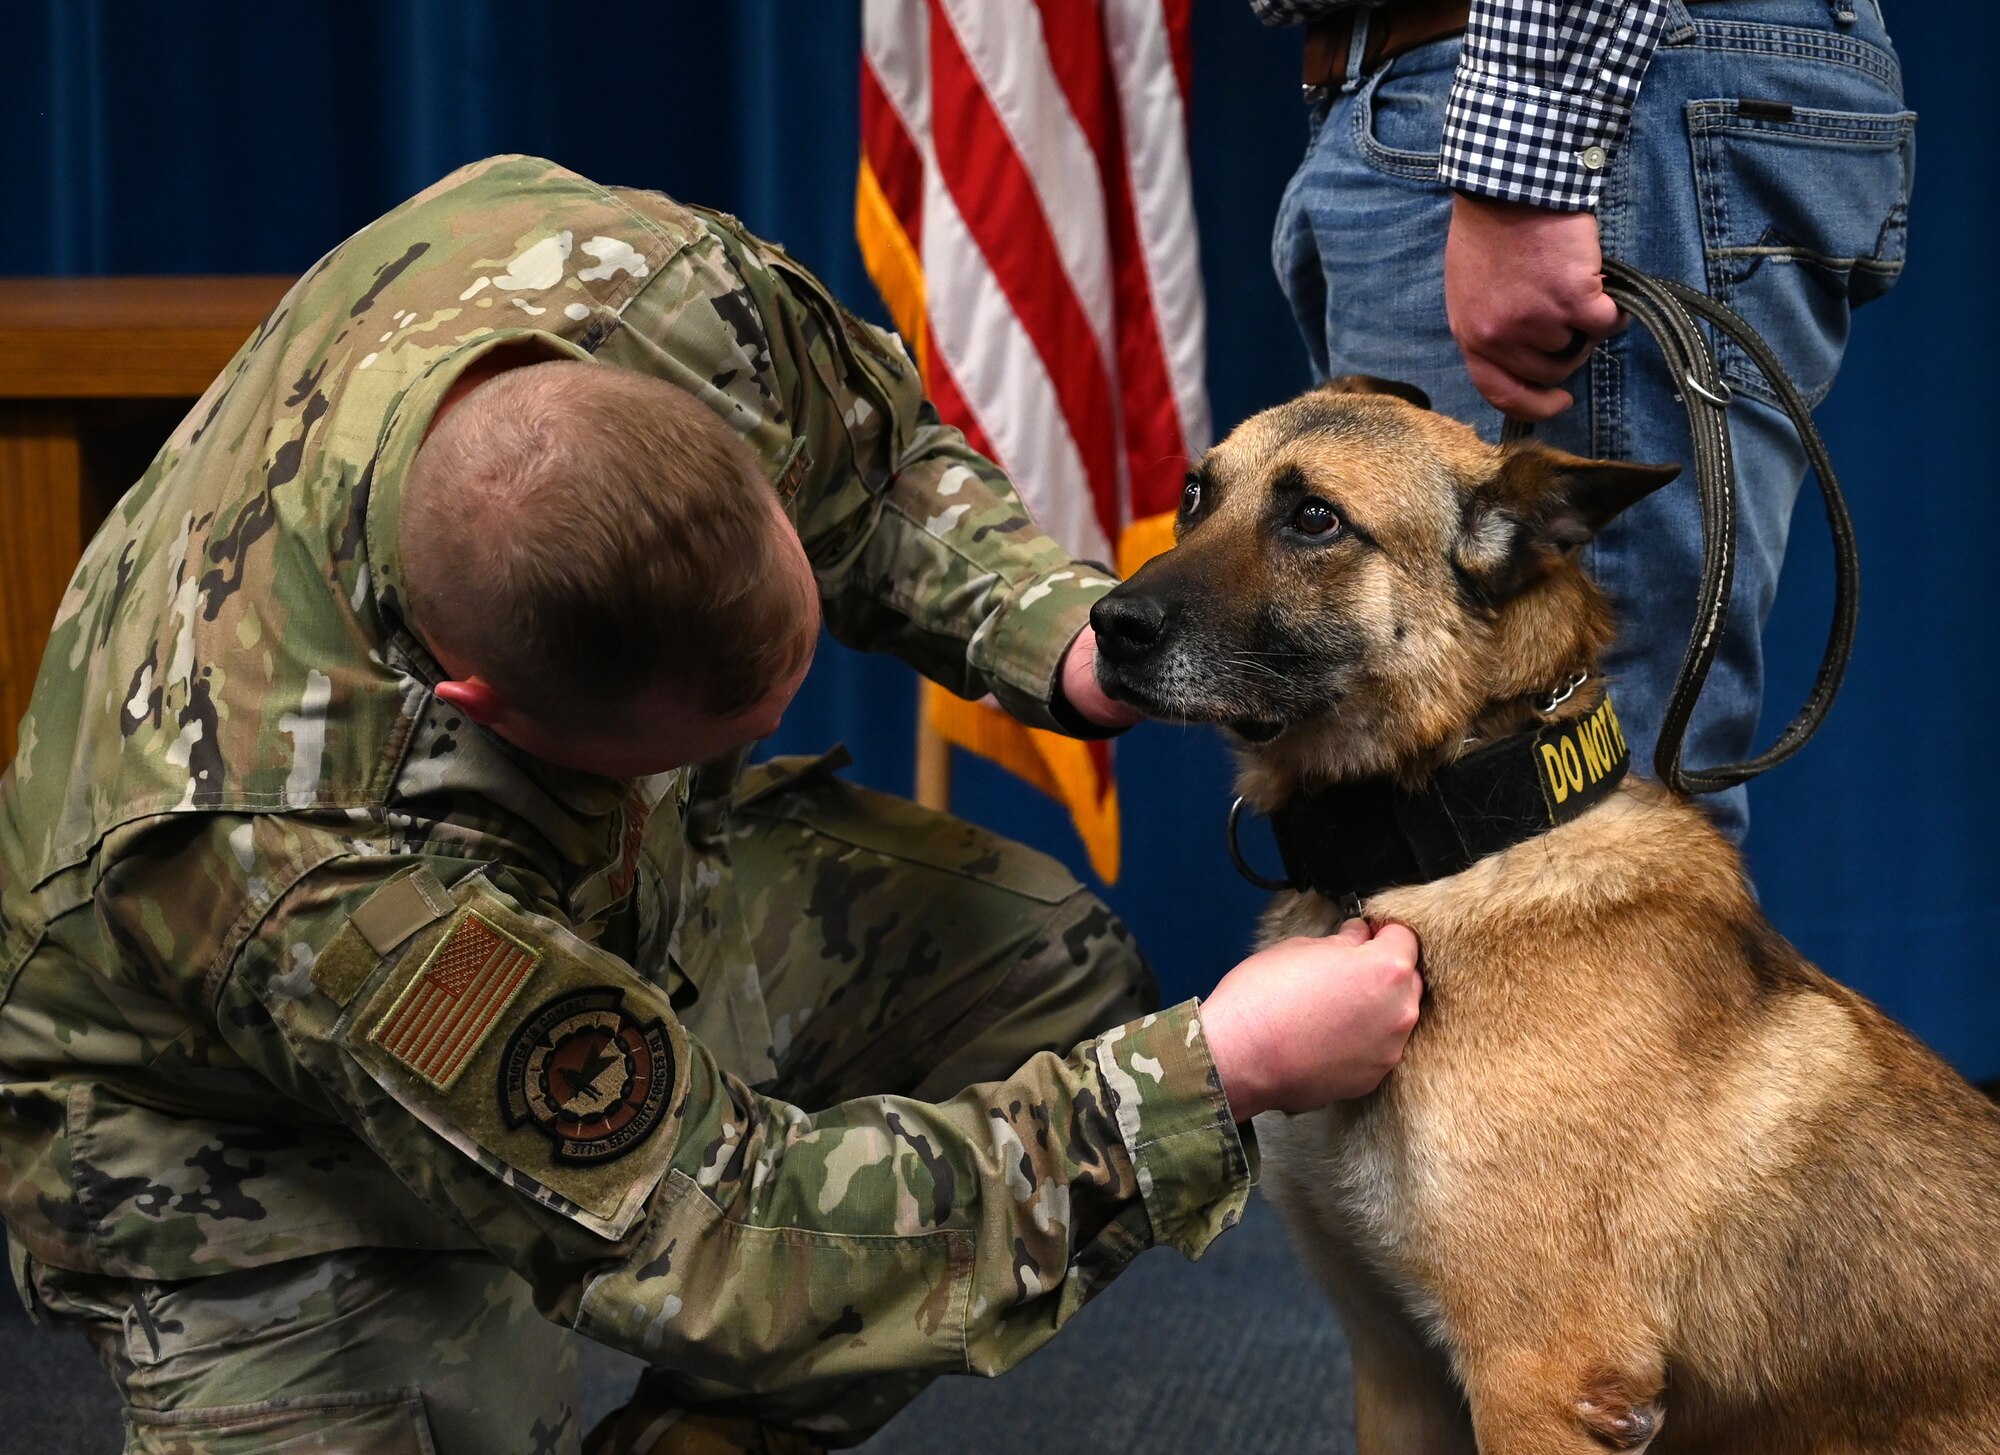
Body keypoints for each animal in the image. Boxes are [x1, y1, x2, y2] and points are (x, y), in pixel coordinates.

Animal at [1088, 375, 2000, 1455]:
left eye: (1314, 519)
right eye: (1195, 494)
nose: (1105, 623)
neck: (1458, 830)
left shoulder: (1535, 1379)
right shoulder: (1396, 1371)